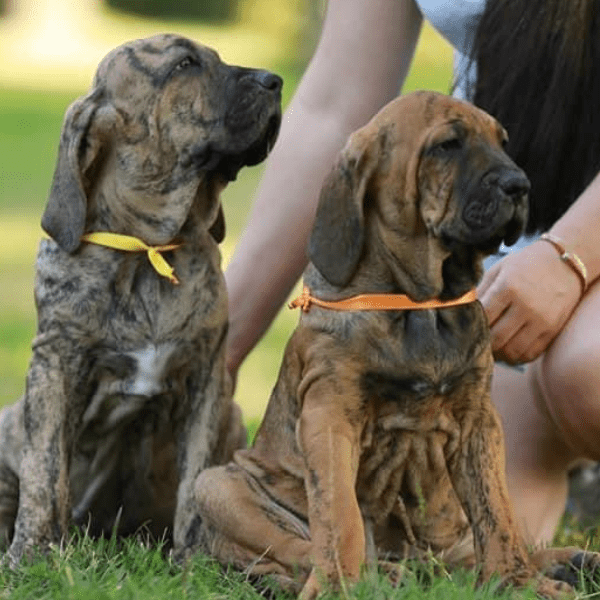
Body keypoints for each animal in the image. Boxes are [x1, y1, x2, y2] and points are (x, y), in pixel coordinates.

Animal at [0, 32, 282, 564]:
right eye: (185, 64)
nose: (274, 80)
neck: (147, 246)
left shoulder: (207, 377)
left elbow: (195, 477)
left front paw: (192, 559)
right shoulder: (53, 364)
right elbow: (45, 469)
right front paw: (32, 552)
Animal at [198, 91, 600, 596]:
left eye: (502, 142)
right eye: (447, 145)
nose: (520, 185)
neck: (421, 305)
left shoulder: (479, 420)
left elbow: (497, 513)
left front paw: (518, 581)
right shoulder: (330, 414)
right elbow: (340, 518)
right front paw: (338, 586)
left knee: (463, 557)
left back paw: (568, 561)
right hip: (217, 487)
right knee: (293, 553)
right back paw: (381, 574)